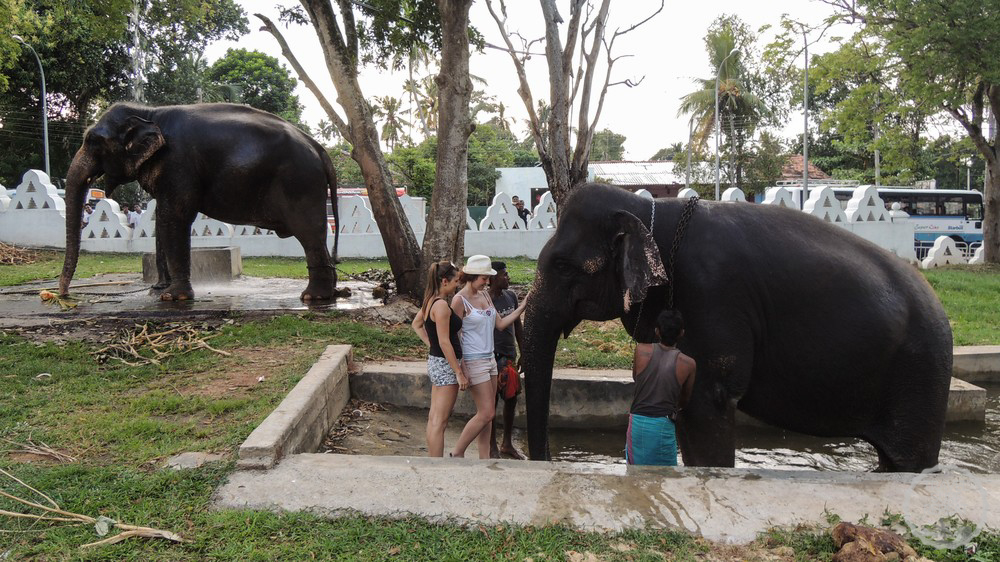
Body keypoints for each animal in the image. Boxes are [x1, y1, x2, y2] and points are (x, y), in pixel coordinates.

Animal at [59, 102, 340, 300]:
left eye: (93, 141)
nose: (64, 295)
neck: (148, 112)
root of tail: (320, 149)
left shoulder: (177, 163)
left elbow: (175, 217)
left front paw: (174, 297)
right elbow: (162, 219)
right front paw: (157, 291)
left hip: (300, 182)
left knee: (309, 233)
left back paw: (313, 297)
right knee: (316, 234)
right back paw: (331, 292)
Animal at [524, 183, 952, 468]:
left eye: (563, 266)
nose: (547, 461)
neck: (648, 210)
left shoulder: (712, 296)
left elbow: (707, 401)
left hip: (921, 376)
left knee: (909, 459)